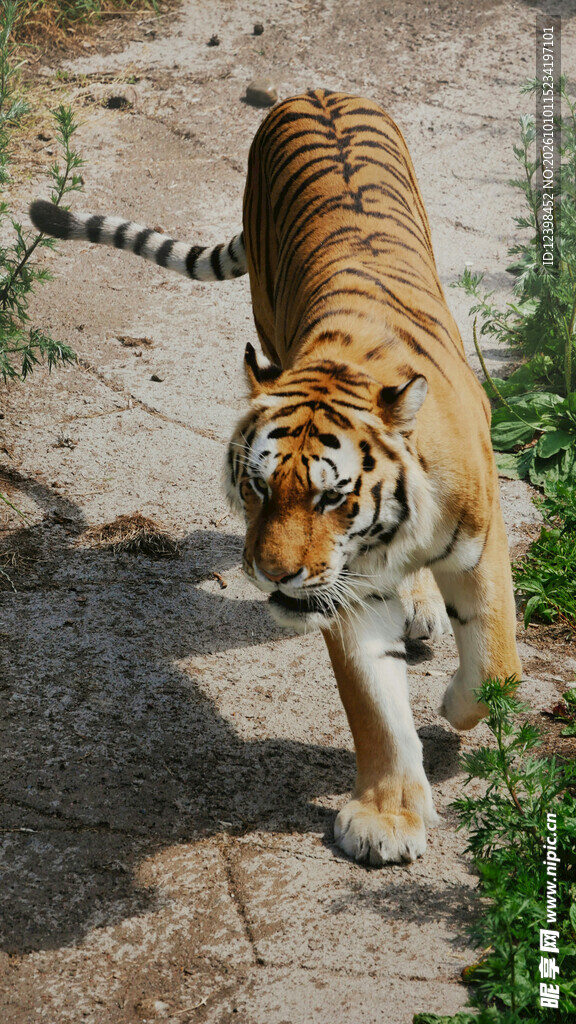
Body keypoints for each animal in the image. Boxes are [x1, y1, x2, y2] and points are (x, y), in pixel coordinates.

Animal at [30, 89, 522, 866]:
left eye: (332, 497)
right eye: (258, 488)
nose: (273, 574)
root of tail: (312, 91)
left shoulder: (478, 546)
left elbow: (498, 664)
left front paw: (450, 708)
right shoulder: (350, 592)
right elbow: (374, 708)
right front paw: (386, 819)